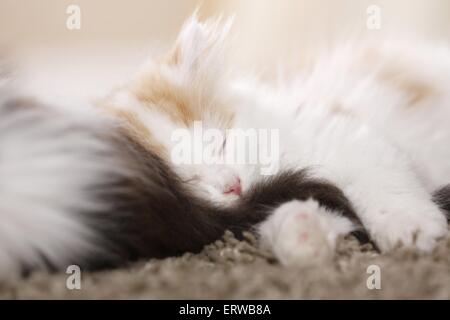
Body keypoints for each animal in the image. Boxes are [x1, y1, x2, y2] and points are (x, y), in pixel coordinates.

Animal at [0, 16, 448, 278]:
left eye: (224, 142)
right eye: (188, 179)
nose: (232, 184)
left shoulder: (339, 134)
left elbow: (380, 182)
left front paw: (411, 230)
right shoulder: (277, 196)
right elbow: (303, 212)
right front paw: (303, 238)